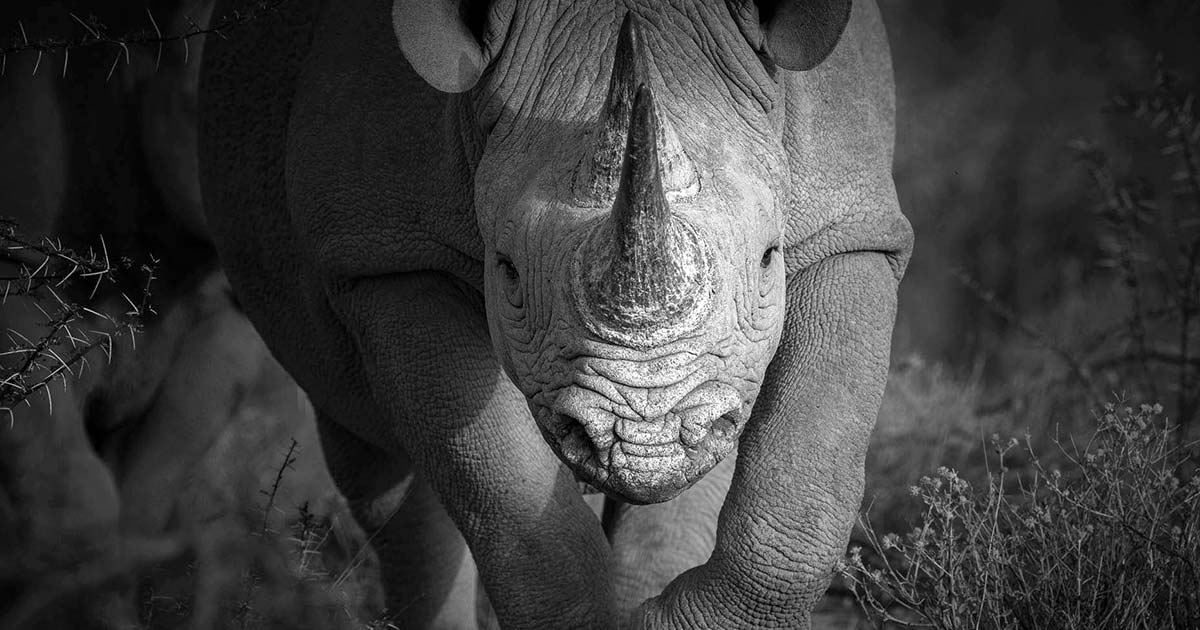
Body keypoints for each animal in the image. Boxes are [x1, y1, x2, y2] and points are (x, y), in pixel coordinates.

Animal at [199, 0, 912, 626]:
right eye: (508, 271)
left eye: (769, 260)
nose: (646, 444)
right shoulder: (389, 254)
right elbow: (502, 497)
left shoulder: (852, 224)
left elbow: (806, 476)